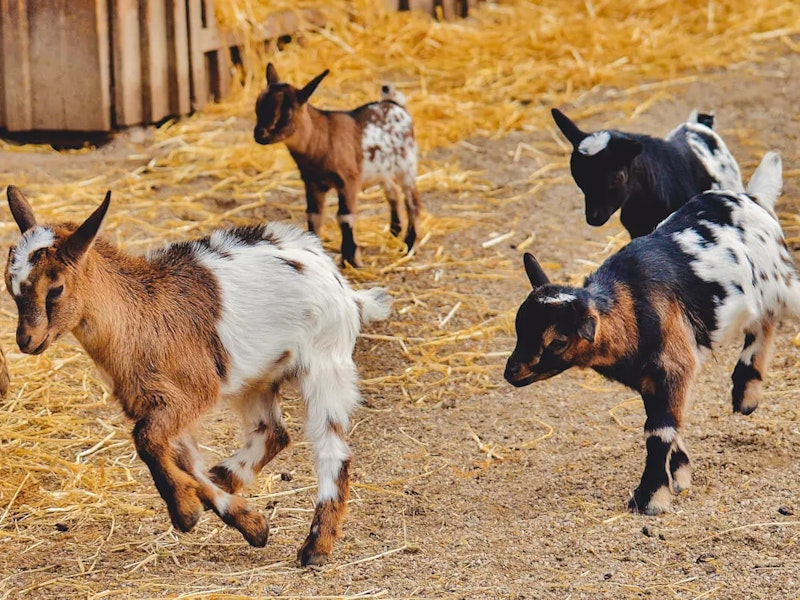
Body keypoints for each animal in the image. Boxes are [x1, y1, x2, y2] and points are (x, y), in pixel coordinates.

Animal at [4, 186, 392, 566]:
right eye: (11, 288)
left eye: (55, 289)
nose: (26, 341)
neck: (139, 314)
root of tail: (344, 287)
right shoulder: (158, 403)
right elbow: (181, 460)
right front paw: (247, 522)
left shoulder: (191, 393)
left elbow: (147, 441)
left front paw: (186, 511)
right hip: (255, 377)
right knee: (272, 433)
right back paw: (226, 477)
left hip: (326, 363)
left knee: (332, 450)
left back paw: (315, 547)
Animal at [254, 63, 421, 267]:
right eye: (257, 106)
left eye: (287, 114)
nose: (260, 135)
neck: (323, 139)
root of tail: (396, 105)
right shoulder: (312, 183)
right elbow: (313, 215)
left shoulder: (348, 181)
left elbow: (345, 217)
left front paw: (351, 260)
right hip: (383, 170)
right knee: (393, 193)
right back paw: (394, 233)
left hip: (407, 165)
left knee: (412, 201)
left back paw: (409, 244)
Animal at [505, 152, 798, 515]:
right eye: (519, 326)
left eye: (557, 341)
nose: (511, 372)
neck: (630, 304)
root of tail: (753, 198)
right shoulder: (649, 379)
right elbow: (666, 423)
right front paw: (681, 475)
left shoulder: (673, 365)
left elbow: (659, 431)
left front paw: (650, 498)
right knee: (764, 321)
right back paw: (746, 394)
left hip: (782, 281)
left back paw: (746, 391)